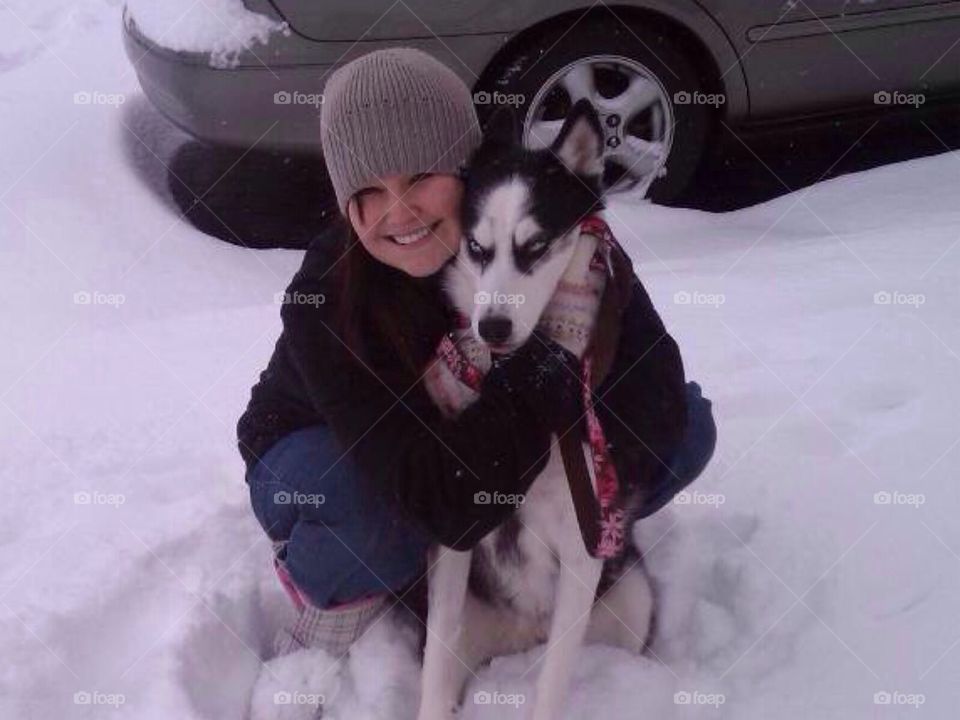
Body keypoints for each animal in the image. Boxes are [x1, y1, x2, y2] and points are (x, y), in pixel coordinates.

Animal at [416, 98, 656, 716]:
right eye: (477, 248)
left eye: (536, 247)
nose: (493, 327)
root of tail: (523, 637)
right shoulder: (455, 540)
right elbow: (435, 662)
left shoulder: (582, 544)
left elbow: (552, 686)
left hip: (631, 595)